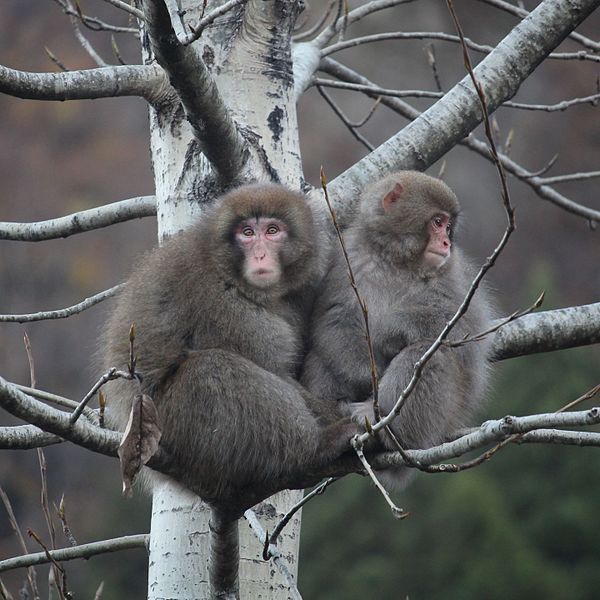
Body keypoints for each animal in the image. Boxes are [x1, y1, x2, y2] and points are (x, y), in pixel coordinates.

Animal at [101, 184, 358, 516]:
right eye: (246, 233)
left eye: (272, 230)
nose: (259, 254)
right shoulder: (216, 301)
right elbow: (277, 372)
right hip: (169, 425)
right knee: (209, 369)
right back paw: (316, 448)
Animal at [302, 170, 494, 488]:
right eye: (438, 222)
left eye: (448, 226)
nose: (446, 243)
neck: (395, 259)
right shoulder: (346, 259)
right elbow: (334, 318)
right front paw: (366, 377)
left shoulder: (451, 273)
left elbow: (461, 328)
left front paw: (392, 331)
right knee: (326, 353)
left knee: (428, 353)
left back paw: (389, 432)